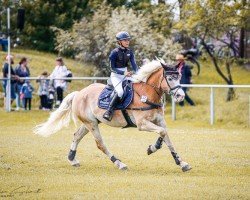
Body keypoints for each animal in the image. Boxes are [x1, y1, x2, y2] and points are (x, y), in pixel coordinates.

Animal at [33, 59, 191, 172]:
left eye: (179, 76)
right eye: (170, 79)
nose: (181, 96)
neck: (147, 94)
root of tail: (78, 93)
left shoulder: (159, 121)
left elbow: (166, 137)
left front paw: (180, 162)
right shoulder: (142, 124)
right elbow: (163, 133)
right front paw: (154, 148)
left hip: (91, 122)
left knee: (77, 136)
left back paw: (72, 159)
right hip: (92, 124)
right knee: (100, 144)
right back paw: (119, 163)